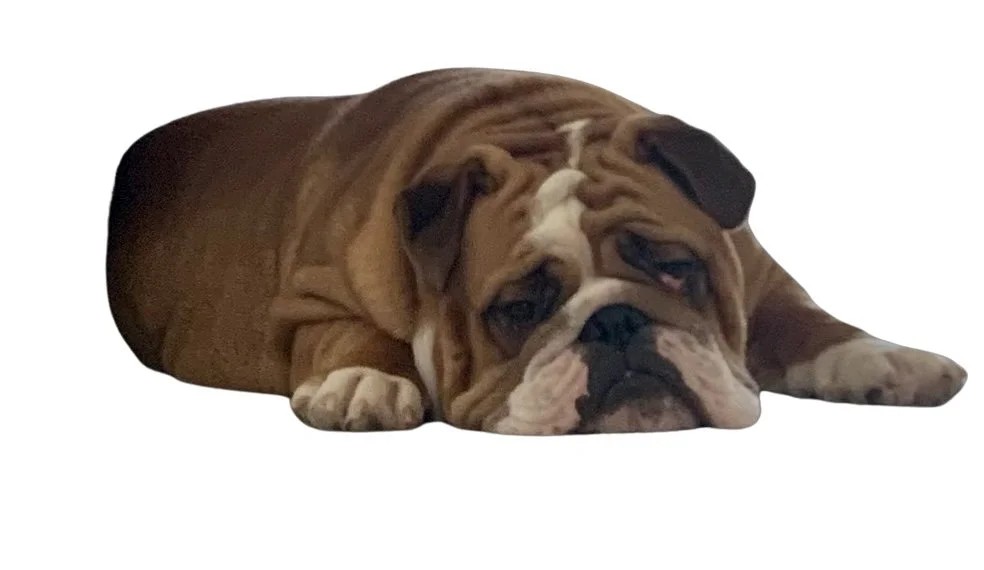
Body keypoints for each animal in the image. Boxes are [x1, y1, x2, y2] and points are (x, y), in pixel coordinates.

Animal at [106, 68, 967, 434]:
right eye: (519, 309)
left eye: (676, 268)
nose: (616, 323)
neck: (533, 126)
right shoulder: (312, 297)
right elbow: (352, 332)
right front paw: (362, 382)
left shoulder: (756, 277)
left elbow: (808, 321)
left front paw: (890, 361)